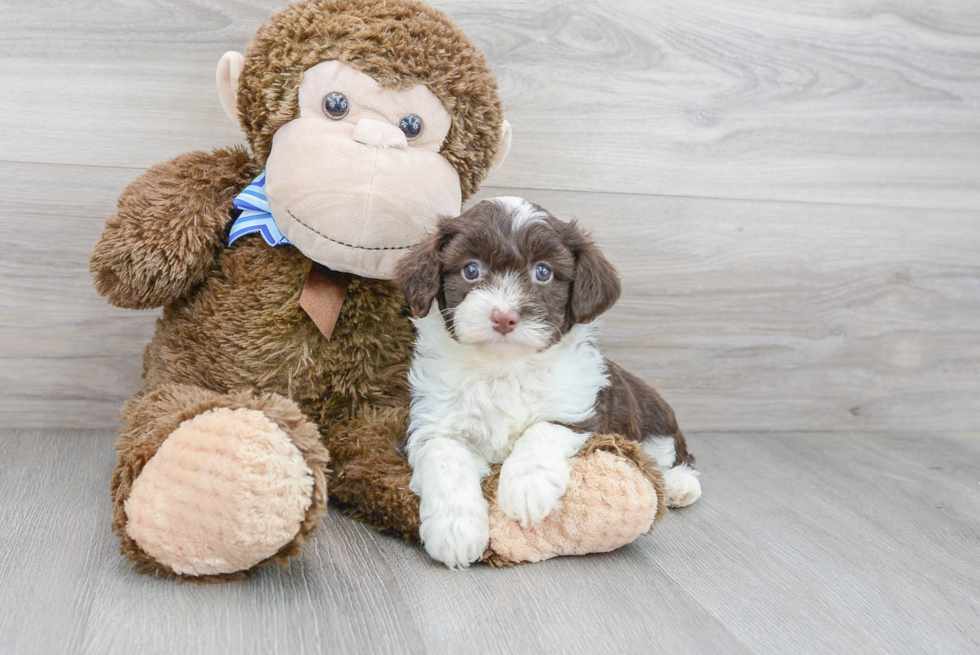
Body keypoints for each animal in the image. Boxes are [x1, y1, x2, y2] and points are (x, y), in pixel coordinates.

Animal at [390, 196, 696, 568]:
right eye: (471, 270)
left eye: (543, 272)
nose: (504, 317)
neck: (505, 368)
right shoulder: (430, 424)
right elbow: (444, 455)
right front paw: (455, 528)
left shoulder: (582, 412)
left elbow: (543, 429)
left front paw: (526, 486)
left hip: (655, 415)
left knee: (672, 454)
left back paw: (679, 484)